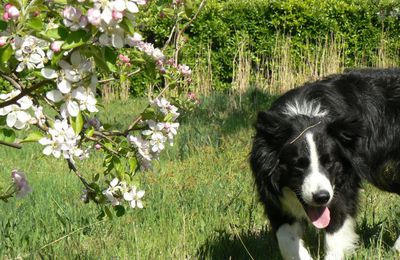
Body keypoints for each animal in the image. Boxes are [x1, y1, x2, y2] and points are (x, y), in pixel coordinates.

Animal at [250, 68, 400, 258]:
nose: (321, 197)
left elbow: (336, 225)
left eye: (330, 162)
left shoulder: (343, 180)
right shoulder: (270, 189)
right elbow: (285, 237)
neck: (306, 115)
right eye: (298, 164)